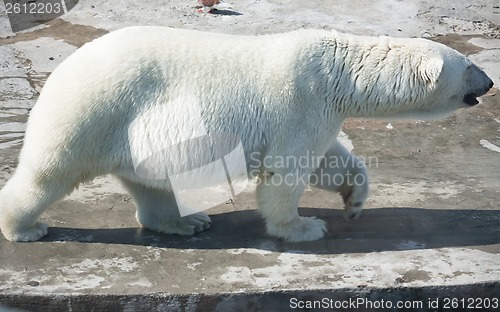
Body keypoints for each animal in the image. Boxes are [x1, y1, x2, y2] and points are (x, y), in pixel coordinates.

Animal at [0, 26, 492, 241]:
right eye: (469, 65)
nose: (489, 83)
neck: (339, 74)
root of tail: (62, 69)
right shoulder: (300, 101)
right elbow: (285, 173)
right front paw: (303, 227)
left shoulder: (321, 110)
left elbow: (330, 161)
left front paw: (354, 201)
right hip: (97, 108)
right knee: (49, 172)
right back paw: (25, 228)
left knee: (150, 183)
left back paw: (185, 221)